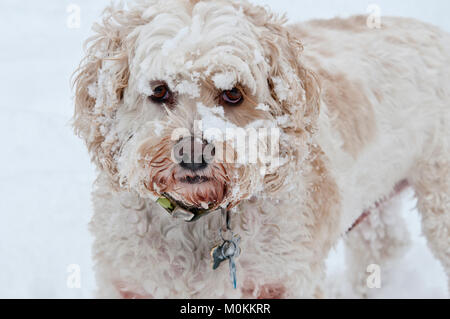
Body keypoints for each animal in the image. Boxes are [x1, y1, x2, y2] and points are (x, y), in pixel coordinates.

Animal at [72, 0, 448, 300]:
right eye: (160, 90)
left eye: (233, 94)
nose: (192, 153)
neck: (199, 216)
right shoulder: (126, 282)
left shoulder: (288, 279)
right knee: (384, 243)